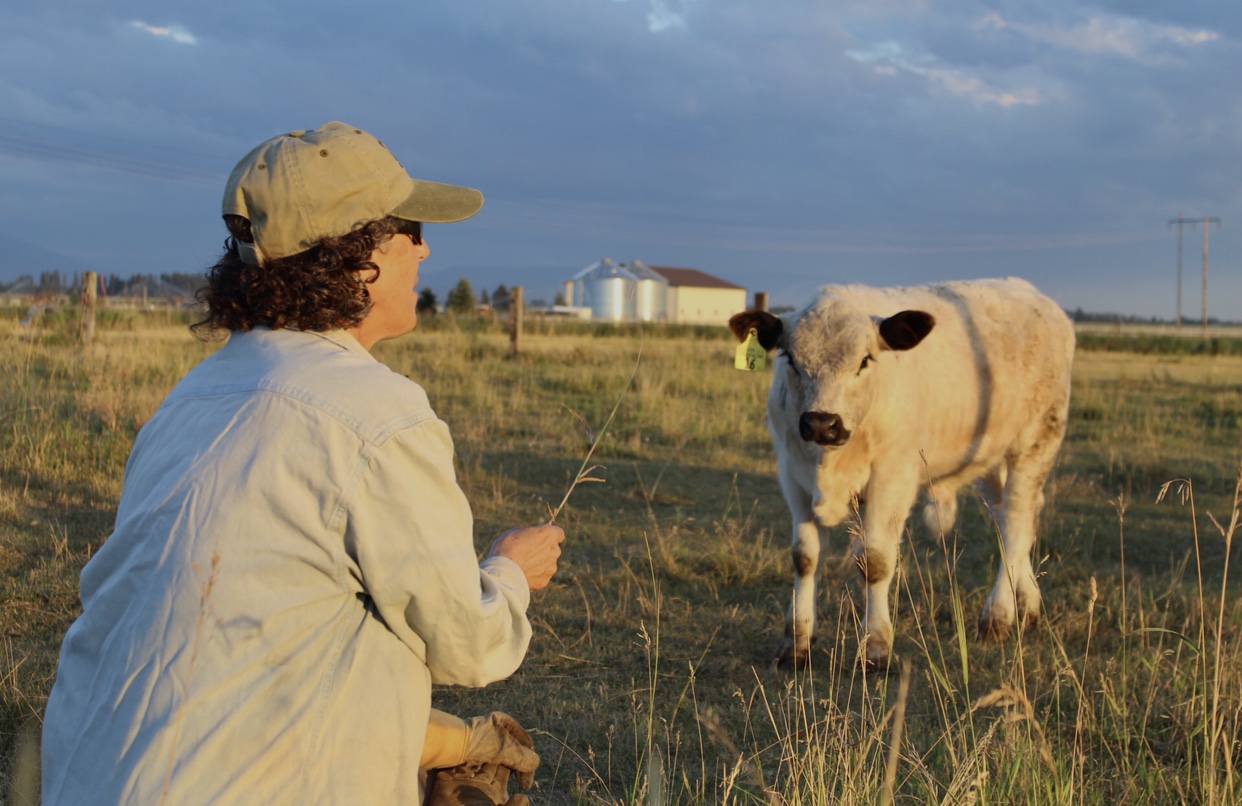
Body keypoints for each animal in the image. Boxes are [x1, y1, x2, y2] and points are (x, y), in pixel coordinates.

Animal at [729, 277, 1074, 670]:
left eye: (864, 360)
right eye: (790, 360)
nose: (821, 423)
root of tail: (1032, 294)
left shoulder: (892, 478)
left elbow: (875, 560)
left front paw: (876, 647)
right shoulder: (793, 475)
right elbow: (805, 557)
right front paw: (797, 642)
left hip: (1036, 442)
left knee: (1016, 523)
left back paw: (998, 616)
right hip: (992, 459)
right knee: (1012, 522)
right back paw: (1027, 604)